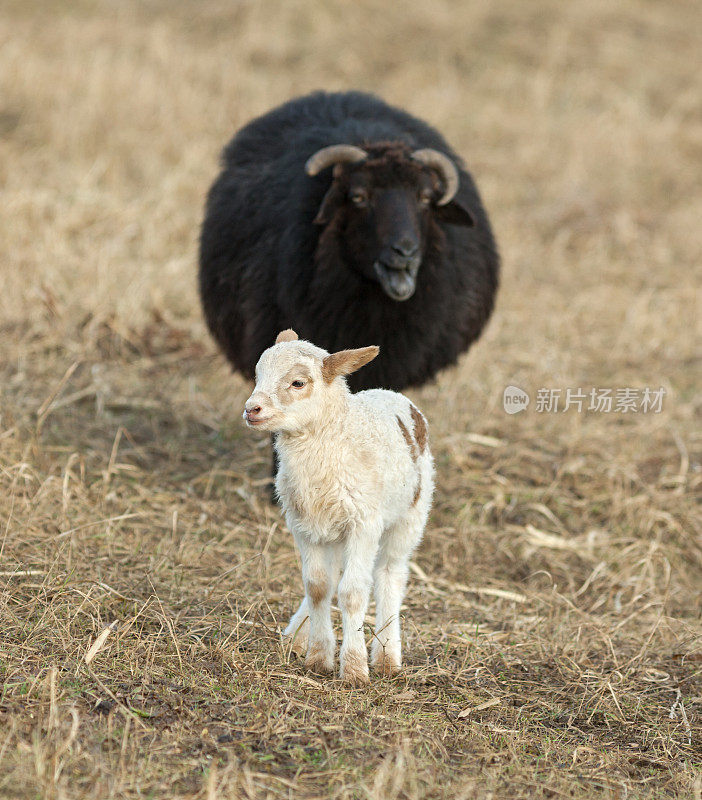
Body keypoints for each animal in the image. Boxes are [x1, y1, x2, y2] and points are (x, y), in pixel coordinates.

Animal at [246, 328, 434, 684]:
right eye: (258, 375)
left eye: (298, 383)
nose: (252, 409)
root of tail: (392, 394)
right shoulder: (303, 524)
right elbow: (318, 587)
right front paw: (318, 657)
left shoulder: (364, 523)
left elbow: (352, 593)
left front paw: (355, 668)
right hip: (329, 528)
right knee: (329, 578)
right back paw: (296, 635)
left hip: (410, 516)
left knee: (390, 575)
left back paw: (387, 655)